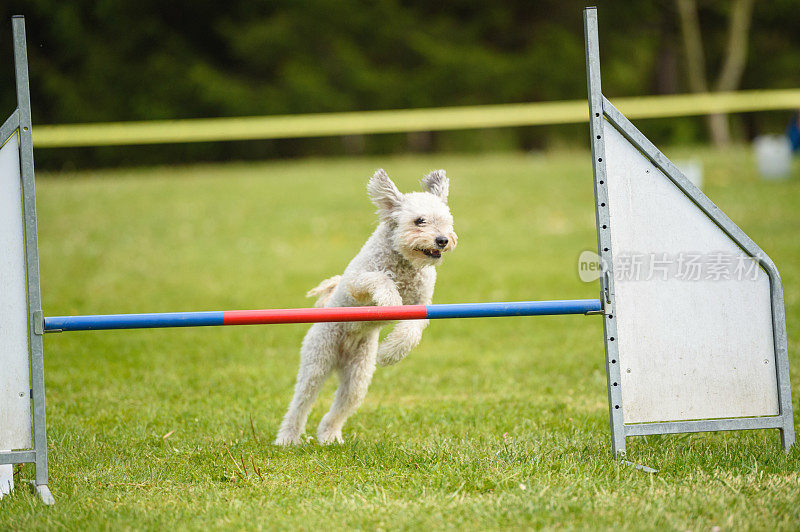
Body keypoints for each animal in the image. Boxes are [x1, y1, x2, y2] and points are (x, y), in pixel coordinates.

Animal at [276, 168, 456, 442]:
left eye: (447, 220)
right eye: (419, 221)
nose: (443, 240)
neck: (404, 261)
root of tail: (341, 357)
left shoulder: (421, 304)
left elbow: (410, 333)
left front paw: (389, 354)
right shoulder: (356, 282)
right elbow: (380, 278)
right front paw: (391, 301)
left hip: (358, 375)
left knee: (339, 408)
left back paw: (330, 437)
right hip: (318, 358)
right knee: (300, 403)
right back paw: (288, 438)